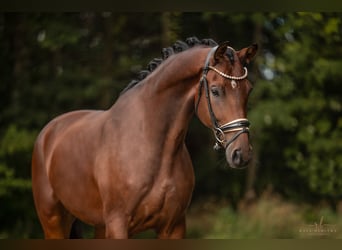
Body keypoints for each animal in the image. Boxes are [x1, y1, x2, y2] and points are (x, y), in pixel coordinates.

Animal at [31, 37, 256, 238]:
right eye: (216, 91)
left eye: (248, 90)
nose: (241, 153)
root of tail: (49, 132)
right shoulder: (118, 225)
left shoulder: (173, 227)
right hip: (53, 221)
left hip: (98, 226)